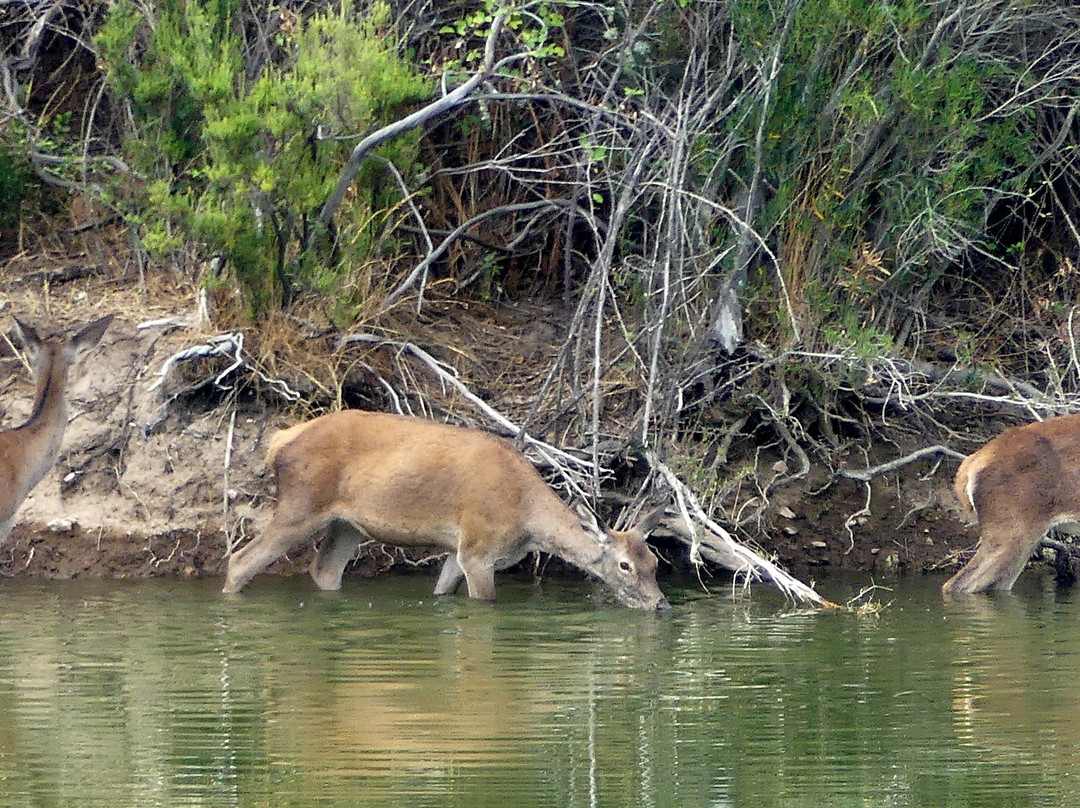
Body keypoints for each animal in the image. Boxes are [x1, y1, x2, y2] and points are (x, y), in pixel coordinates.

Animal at [222, 410, 669, 613]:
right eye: (625, 565)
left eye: (655, 562)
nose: (661, 604)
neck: (527, 518)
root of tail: (279, 441)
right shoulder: (478, 548)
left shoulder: (459, 550)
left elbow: (440, 593)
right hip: (301, 503)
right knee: (241, 560)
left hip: (348, 523)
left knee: (325, 569)